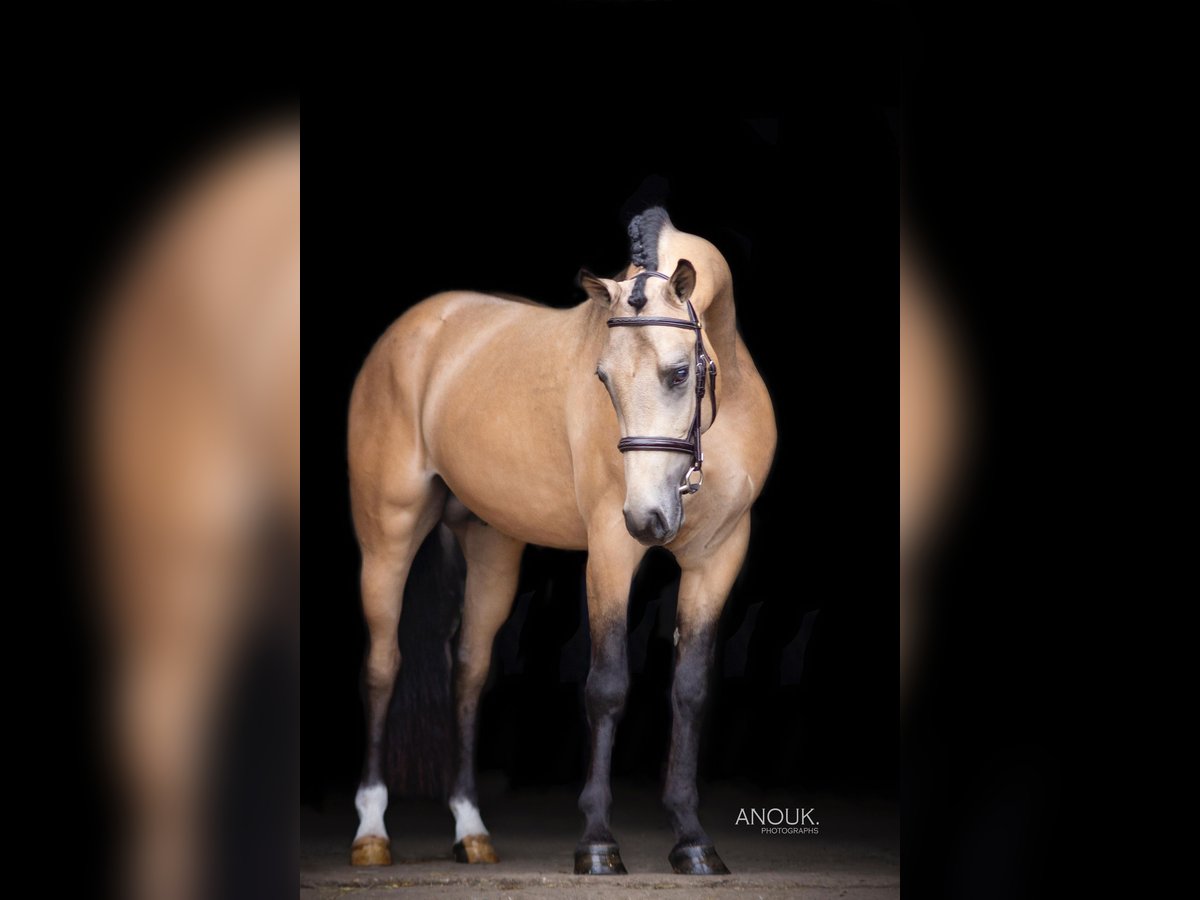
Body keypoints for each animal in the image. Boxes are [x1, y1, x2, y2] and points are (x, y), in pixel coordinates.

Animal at [348, 210, 777, 873]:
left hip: (491, 547)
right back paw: (372, 832)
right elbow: (606, 687)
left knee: (468, 674)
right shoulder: (611, 551)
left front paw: (692, 840)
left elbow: (691, 690)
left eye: (680, 372)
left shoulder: (719, 557)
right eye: (603, 378)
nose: (649, 518)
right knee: (381, 667)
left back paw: (471, 831)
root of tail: (413, 330)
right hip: (386, 537)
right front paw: (598, 843)